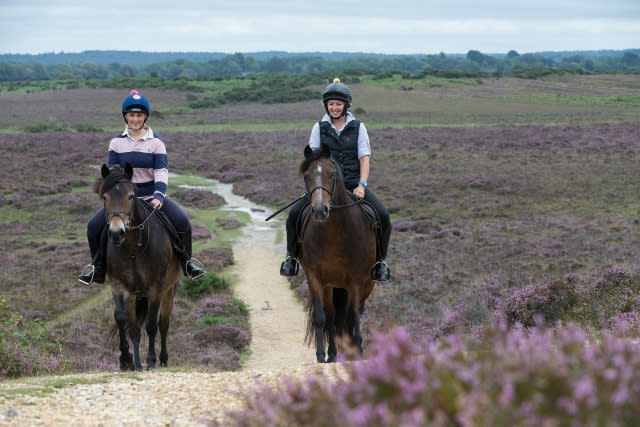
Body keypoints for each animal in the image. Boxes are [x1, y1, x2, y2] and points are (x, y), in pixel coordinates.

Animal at [98, 164, 182, 372]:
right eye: (105, 197)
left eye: (130, 196)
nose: (116, 233)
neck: (133, 248)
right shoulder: (120, 286)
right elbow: (125, 322)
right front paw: (128, 360)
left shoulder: (155, 288)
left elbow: (152, 325)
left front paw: (150, 361)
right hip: (136, 295)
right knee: (135, 325)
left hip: (169, 289)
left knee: (163, 323)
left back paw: (163, 360)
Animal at [298, 144, 378, 364]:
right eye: (307, 176)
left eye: (332, 174)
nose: (320, 210)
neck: (334, 233)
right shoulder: (315, 277)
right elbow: (321, 317)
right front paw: (320, 356)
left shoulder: (356, 281)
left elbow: (354, 317)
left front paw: (357, 354)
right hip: (330, 286)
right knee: (332, 316)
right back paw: (333, 354)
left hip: (367, 284)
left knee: (355, 313)